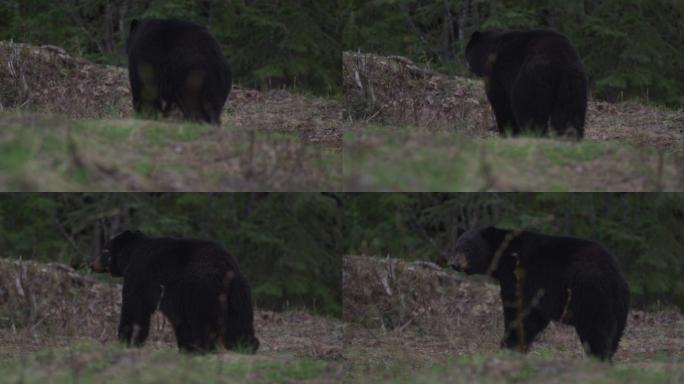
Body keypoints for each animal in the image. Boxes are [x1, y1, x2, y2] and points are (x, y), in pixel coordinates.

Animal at [89, 230, 258, 352]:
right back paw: (246, 345)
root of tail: (228, 268)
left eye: (104, 250)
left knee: (204, 324)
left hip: (202, 293)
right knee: (239, 322)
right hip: (239, 296)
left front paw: (126, 339)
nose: (91, 264)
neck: (130, 254)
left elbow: (135, 309)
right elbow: (182, 324)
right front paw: (185, 346)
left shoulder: (140, 277)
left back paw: (205, 347)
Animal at [448, 226, 632, 358]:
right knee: (614, 334)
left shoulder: (521, 276)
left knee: (596, 330)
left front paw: (508, 345)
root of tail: (613, 274)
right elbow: (535, 316)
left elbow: (519, 310)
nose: (455, 264)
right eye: (456, 248)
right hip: (619, 306)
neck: (504, 256)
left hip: (590, 295)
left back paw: (597, 357)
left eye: (468, 249)